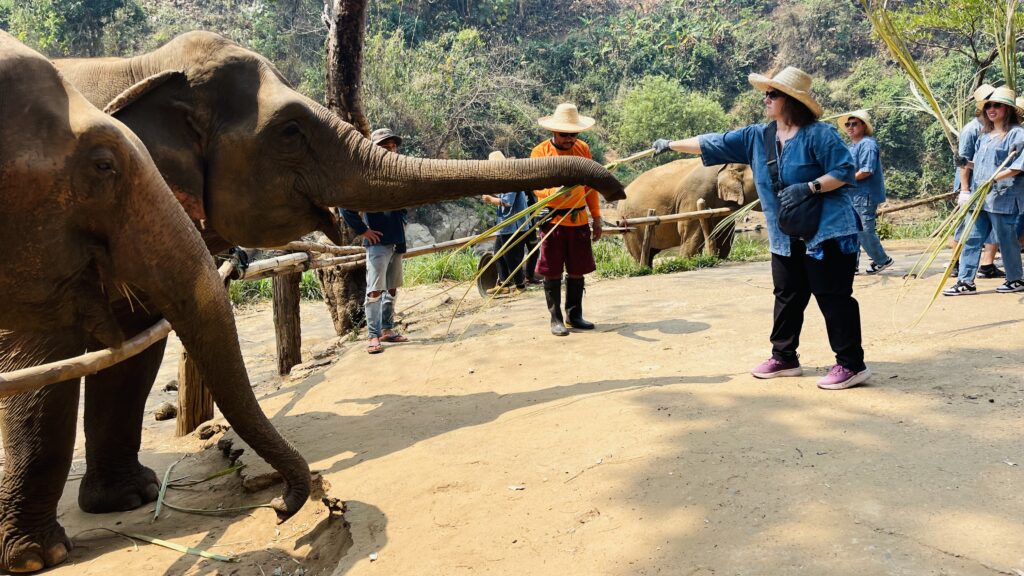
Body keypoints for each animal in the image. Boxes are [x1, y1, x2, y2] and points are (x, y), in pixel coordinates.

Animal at [0, 32, 309, 573]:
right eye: (103, 166)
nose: (279, 506)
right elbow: (40, 364)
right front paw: (38, 558)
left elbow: (131, 350)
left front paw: (130, 498)